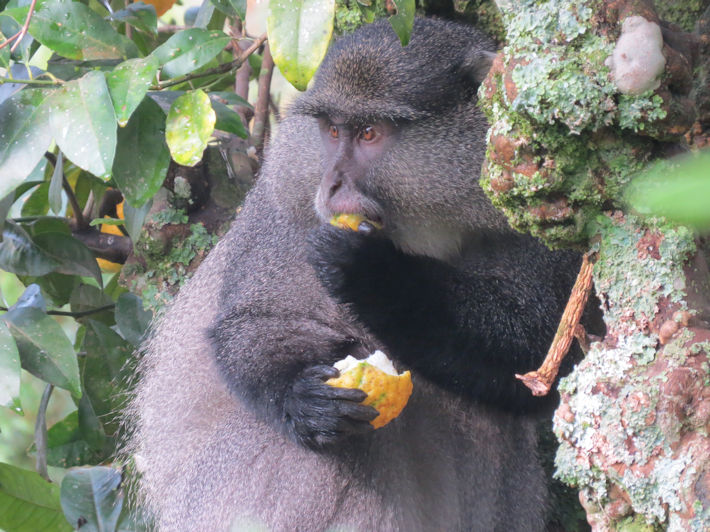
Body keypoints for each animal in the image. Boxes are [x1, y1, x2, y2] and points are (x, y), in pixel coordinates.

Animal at [125, 18, 590, 531]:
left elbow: (544, 358)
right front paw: (303, 400)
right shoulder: (286, 207)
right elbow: (254, 324)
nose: (331, 184)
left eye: (369, 133)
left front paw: (381, 278)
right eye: (332, 130)